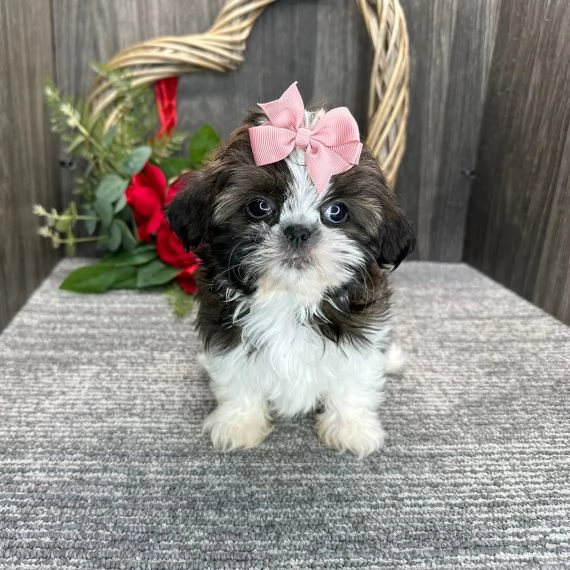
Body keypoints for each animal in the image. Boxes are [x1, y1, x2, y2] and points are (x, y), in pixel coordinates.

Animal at [165, 82, 412, 454]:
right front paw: (239, 423)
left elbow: (353, 381)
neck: (289, 298)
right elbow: (237, 379)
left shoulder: (362, 336)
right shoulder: (226, 333)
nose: (298, 230)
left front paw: (350, 427)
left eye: (336, 212)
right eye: (259, 207)